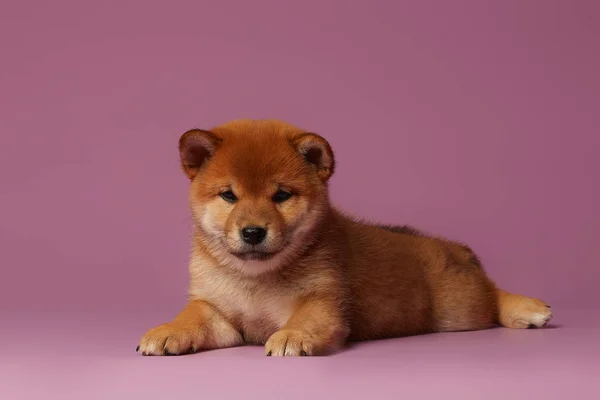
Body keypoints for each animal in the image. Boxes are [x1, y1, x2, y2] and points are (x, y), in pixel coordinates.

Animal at [136, 119, 552, 356]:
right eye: (229, 195)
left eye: (281, 195)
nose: (252, 232)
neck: (256, 279)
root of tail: (453, 248)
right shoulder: (216, 311)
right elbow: (191, 317)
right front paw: (166, 332)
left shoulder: (323, 299)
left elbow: (306, 320)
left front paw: (291, 336)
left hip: (459, 309)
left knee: (492, 295)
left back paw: (529, 308)